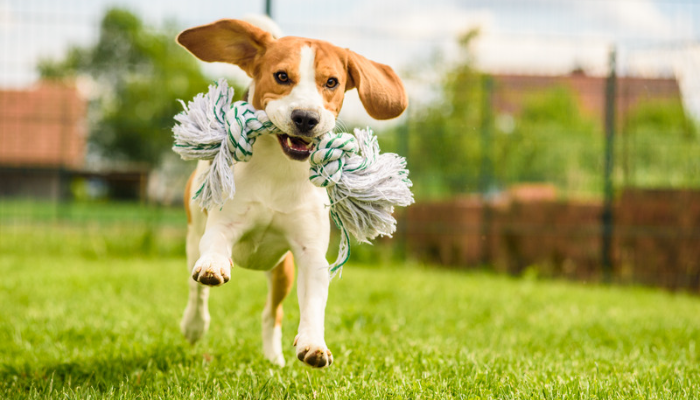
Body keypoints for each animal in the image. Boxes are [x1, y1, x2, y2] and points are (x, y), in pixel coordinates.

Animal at [175, 17, 408, 368]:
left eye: (331, 82)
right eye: (282, 76)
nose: (306, 118)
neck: (279, 172)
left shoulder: (310, 254)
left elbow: (313, 303)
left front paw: (313, 343)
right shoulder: (223, 226)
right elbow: (214, 249)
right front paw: (214, 266)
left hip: (281, 270)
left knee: (272, 314)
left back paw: (274, 359)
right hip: (193, 237)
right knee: (196, 291)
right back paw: (194, 324)